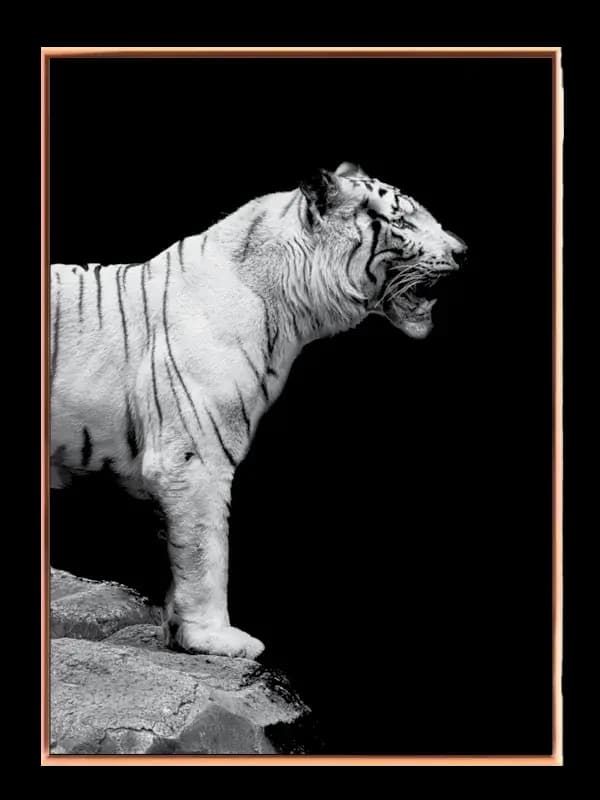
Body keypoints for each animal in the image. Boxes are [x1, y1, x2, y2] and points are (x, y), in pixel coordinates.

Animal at [50, 162, 467, 659]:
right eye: (402, 220)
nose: (462, 252)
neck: (290, 311)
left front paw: (178, 633)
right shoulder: (195, 458)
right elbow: (206, 551)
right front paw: (215, 637)